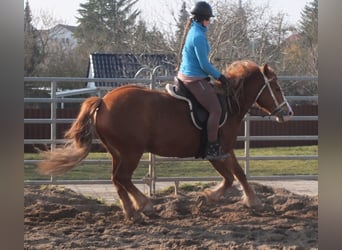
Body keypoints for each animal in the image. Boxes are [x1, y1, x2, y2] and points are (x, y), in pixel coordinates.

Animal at [37, 60, 294, 221]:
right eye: (276, 87)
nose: (288, 112)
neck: (228, 103)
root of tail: (104, 101)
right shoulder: (216, 152)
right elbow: (230, 178)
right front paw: (209, 196)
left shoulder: (226, 150)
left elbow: (239, 174)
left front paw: (251, 200)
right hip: (131, 151)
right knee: (123, 178)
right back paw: (144, 204)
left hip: (117, 153)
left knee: (117, 179)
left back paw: (131, 211)